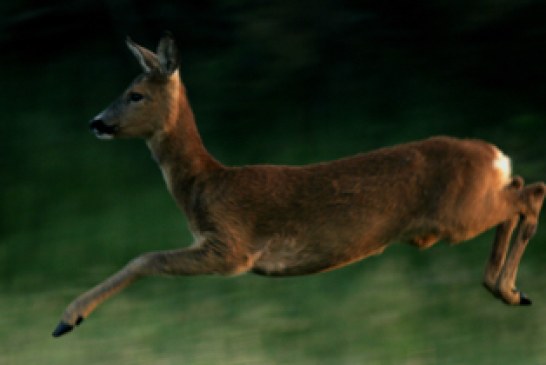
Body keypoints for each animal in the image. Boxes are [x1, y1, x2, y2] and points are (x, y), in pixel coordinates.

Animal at [51, 32, 540, 336]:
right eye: (125, 88)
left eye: (136, 95)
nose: (97, 122)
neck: (205, 185)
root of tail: (495, 155)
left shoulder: (232, 247)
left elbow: (146, 257)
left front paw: (68, 319)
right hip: (467, 208)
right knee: (521, 187)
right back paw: (508, 289)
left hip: (459, 214)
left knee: (530, 193)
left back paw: (507, 288)